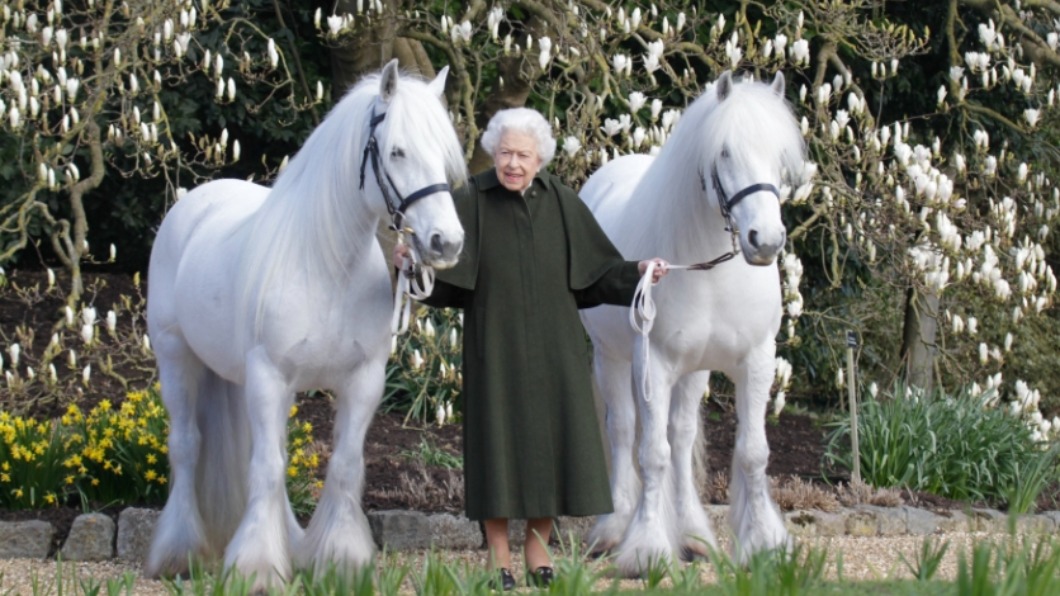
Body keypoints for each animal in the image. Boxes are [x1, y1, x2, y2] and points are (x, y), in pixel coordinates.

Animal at [143, 59, 466, 590]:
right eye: (397, 151)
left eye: (443, 155)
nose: (447, 242)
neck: (327, 266)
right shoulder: (269, 376)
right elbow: (268, 469)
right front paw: (256, 569)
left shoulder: (362, 381)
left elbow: (343, 466)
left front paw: (340, 561)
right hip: (177, 359)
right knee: (187, 447)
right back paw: (179, 552)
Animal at [578, 70, 807, 575]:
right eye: (724, 152)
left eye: (779, 155)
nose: (766, 240)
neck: (710, 269)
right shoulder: (654, 364)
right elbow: (651, 453)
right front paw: (645, 549)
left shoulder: (756, 361)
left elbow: (751, 453)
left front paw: (763, 544)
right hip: (612, 359)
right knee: (623, 430)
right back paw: (613, 528)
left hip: (694, 370)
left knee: (681, 438)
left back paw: (693, 535)